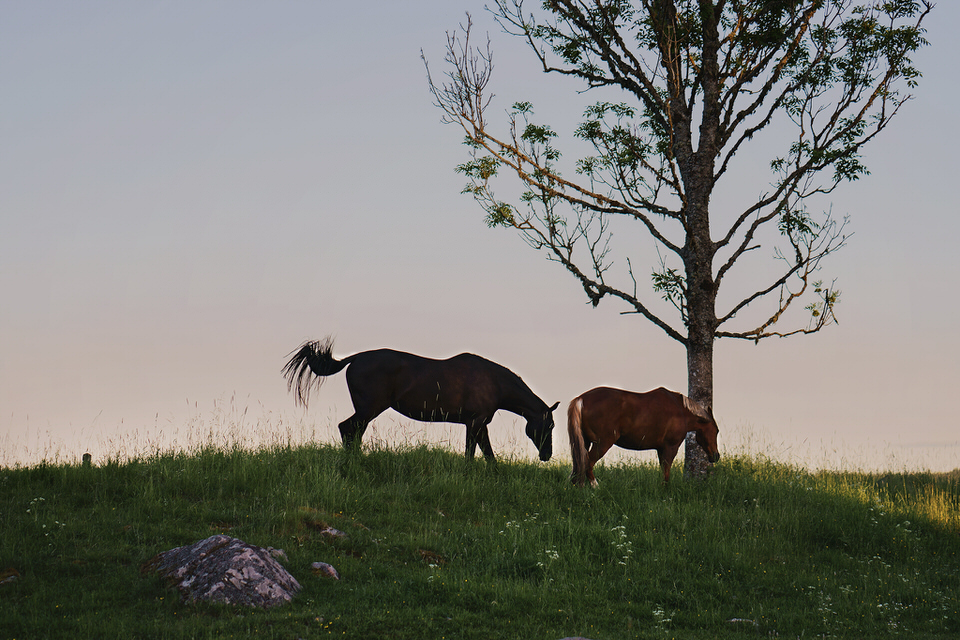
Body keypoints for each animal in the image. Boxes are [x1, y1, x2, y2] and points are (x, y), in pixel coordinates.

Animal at [282, 336, 560, 460]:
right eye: (549, 425)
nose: (547, 454)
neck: (494, 382)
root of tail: (354, 359)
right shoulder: (476, 422)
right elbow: (475, 453)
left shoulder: (478, 425)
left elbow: (485, 453)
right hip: (370, 408)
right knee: (348, 428)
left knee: (353, 431)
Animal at [568, 384, 716, 484]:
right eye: (716, 431)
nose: (716, 456)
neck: (680, 411)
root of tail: (581, 399)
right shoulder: (670, 448)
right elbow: (666, 473)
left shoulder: (660, 449)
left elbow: (663, 471)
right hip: (602, 444)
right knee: (588, 464)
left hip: (584, 442)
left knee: (578, 466)